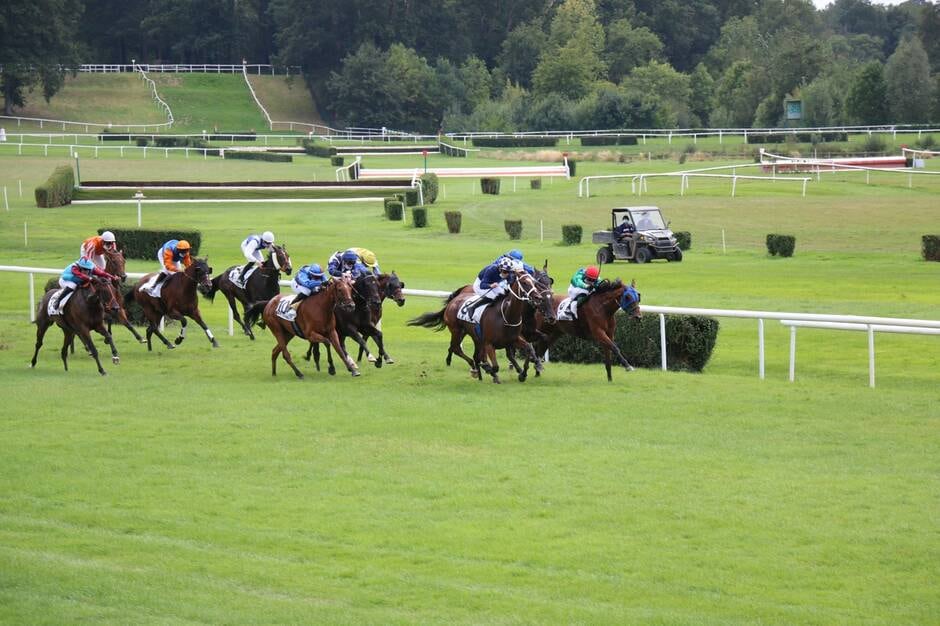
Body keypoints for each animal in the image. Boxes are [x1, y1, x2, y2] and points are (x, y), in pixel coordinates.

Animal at [408, 266, 556, 382]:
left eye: (534, 282)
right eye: (525, 282)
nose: (538, 297)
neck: (507, 314)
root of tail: (454, 300)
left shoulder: (515, 338)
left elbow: (529, 348)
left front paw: (529, 369)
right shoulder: (489, 343)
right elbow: (495, 365)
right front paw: (490, 370)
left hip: (474, 336)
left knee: (469, 353)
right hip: (457, 330)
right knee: (457, 349)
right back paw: (473, 368)